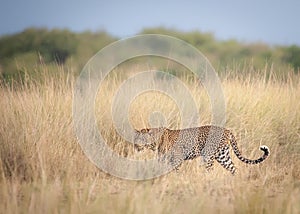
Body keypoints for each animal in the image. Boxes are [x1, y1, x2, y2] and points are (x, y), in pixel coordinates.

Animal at [134, 125, 270, 174]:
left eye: (141, 139)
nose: (135, 146)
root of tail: (227, 130)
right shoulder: (164, 159)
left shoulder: (177, 158)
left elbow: (175, 170)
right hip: (222, 155)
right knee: (233, 168)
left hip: (208, 156)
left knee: (210, 170)